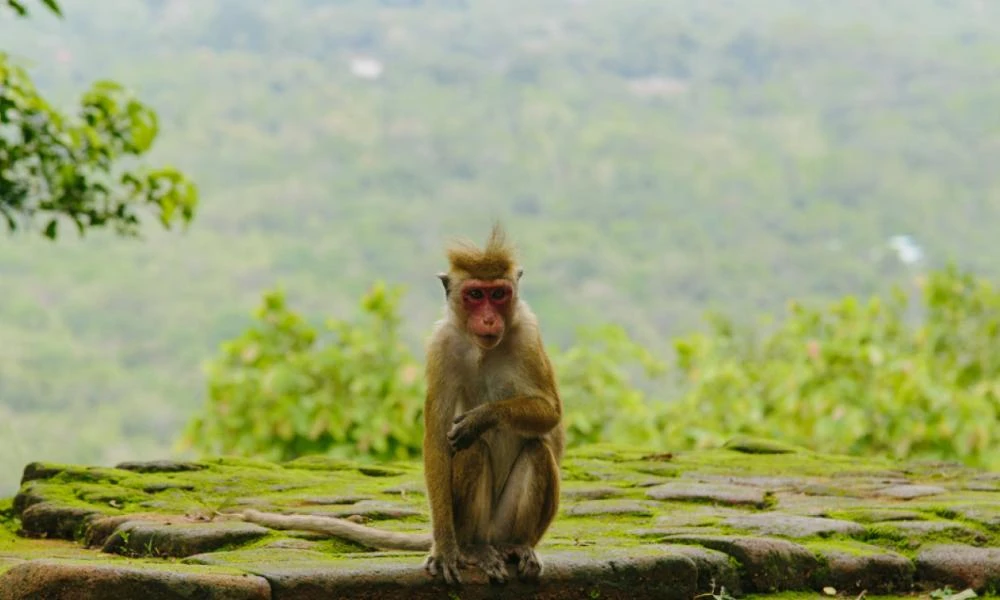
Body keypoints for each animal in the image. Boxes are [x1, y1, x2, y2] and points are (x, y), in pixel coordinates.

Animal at [236, 225, 564, 584]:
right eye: (476, 295)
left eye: (499, 294)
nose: (490, 320)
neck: (483, 347)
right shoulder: (441, 346)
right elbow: (437, 438)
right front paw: (444, 550)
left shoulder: (528, 332)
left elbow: (550, 413)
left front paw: (483, 417)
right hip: (465, 523)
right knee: (474, 450)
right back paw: (472, 549)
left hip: (508, 525)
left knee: (536, 450)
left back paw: (515, 546)